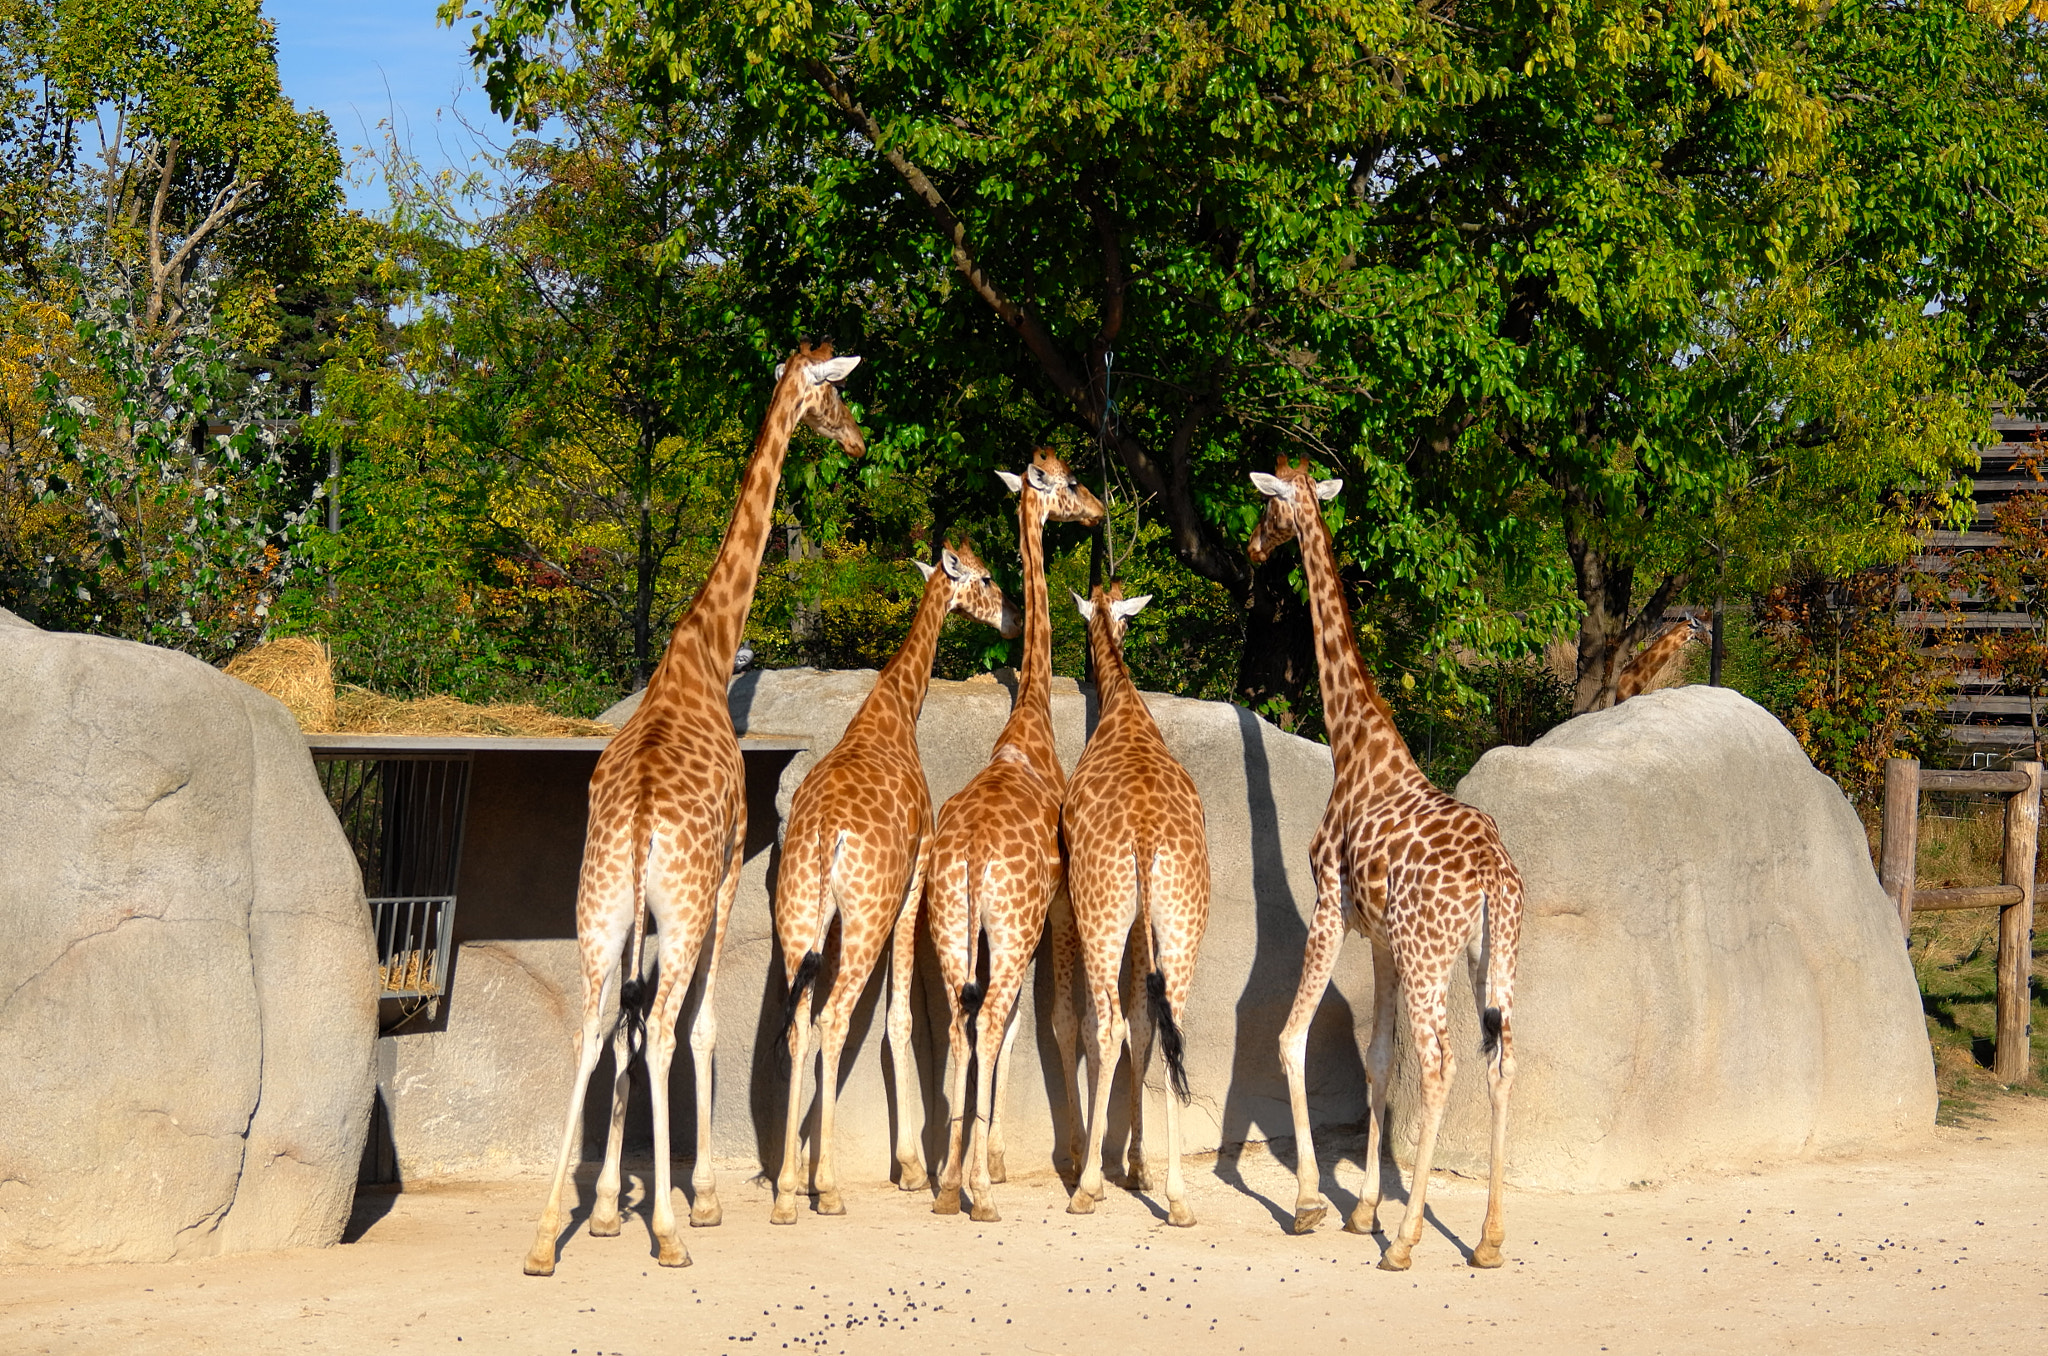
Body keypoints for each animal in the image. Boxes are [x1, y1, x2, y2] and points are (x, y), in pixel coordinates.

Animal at [520, 346, 864, 1278]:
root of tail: (640, 823)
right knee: (670, 1031)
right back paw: (671, 1231)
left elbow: (622, 1034)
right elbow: (702, 1030)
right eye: (837, 394)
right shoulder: (726, 875)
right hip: (676, 910)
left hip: (600, 910)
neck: (705, 653)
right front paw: (698, 1197)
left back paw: (546, 1236)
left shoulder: (641, 916)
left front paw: (607, 1206)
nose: (858, 442)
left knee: (595, 1027)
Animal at [770, 536, 1024, 1229]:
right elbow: (901, 1019)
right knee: (834, 1019)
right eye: (985, 578)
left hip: (797, 914)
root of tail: (825, 833)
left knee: (800, 1021)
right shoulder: (913, 883)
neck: (896, 710)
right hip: (866, 912)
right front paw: (911, 1167)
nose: (1013, 619)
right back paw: (827, 1189)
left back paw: (786, 1189)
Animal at [1245, 456, 1523, 1278]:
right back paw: (1488, 1239)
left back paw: (1406, 1241)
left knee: (1439, 1064)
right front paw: (1361, 1205)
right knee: (1500, 1061)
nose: (1252, 548)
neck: (1355, 746)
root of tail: (1492, 876)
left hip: (1433, 953)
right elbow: (1373, 1057)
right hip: (1490, 954)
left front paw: (1311, 1202)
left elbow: (1292, 1039)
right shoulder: (1380, 940)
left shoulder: (1331, 909)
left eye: (1266, 509)